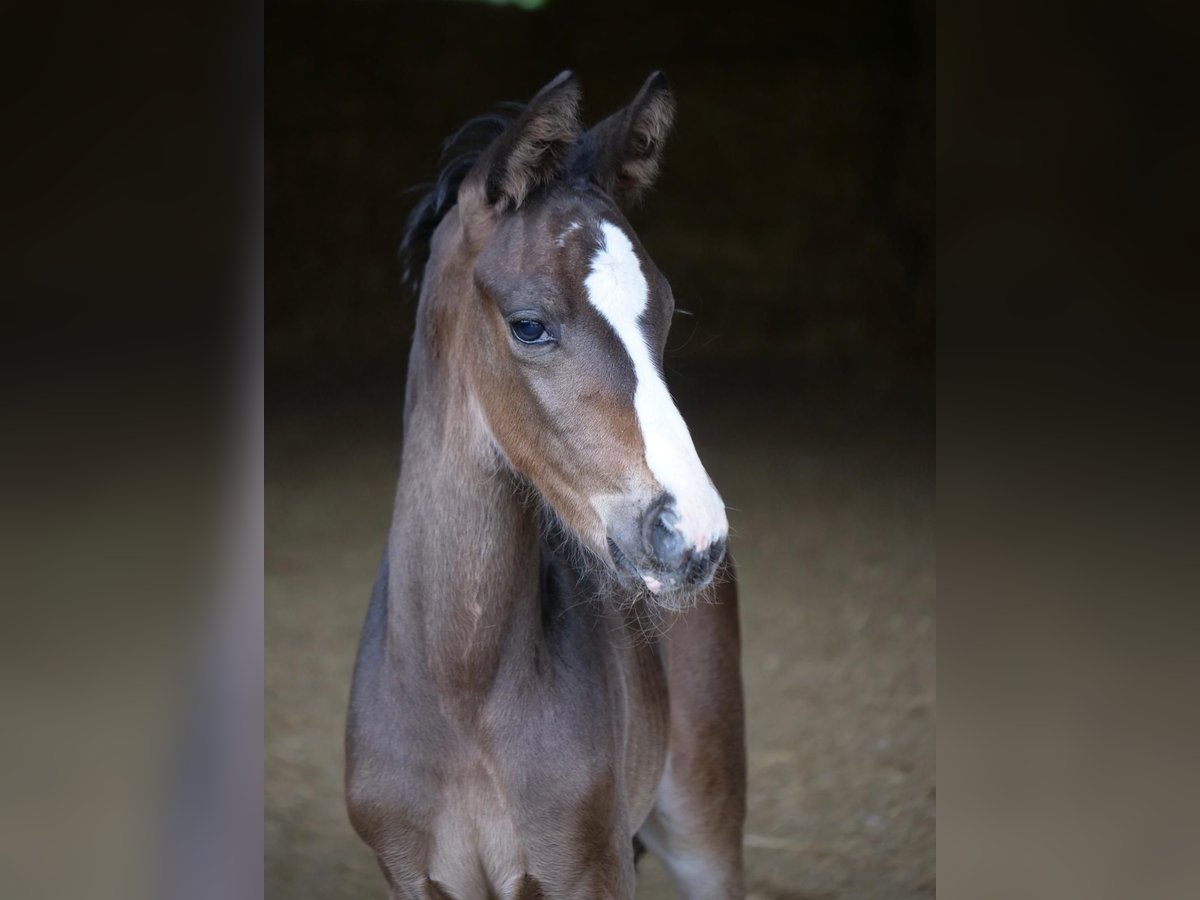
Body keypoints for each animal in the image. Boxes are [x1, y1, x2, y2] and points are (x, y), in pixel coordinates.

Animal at [343, 72, 744, 900]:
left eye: (664, 313)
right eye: (529, 324)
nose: (692, 534)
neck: (460, 689)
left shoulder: (589, 868)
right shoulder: (409, 876)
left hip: (704, 817)